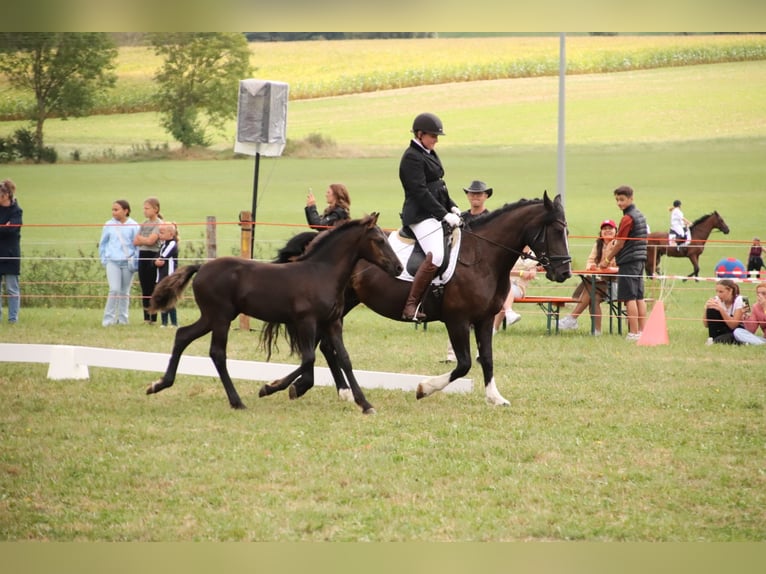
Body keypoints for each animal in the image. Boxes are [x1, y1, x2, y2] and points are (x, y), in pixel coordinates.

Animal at [146, 215, 404, 414]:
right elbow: (308, 359)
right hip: (220, 317)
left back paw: (159, 384)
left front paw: (365, 404)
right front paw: (271, 388)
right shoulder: (306, 321)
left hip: (211, 317)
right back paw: (237, 402)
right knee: (217, 353)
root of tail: (201, 268)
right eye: (379, 240)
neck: (322, 273)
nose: (399, 267)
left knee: (182, 335)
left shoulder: (332, 323)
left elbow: (345, 359)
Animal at [268, 191, 572, 408]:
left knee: (325, 345)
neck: (481, 257)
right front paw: (424, 388)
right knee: (322, 345)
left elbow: (486, 358)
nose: (564, 272)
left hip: (341, 305)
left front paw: (495, 398)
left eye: (567, 231)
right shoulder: (458, 320)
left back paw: (337, 391)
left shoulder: (485, 319)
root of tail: (317, 239)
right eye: (556, 230)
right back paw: (295, 386)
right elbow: (463, 364)